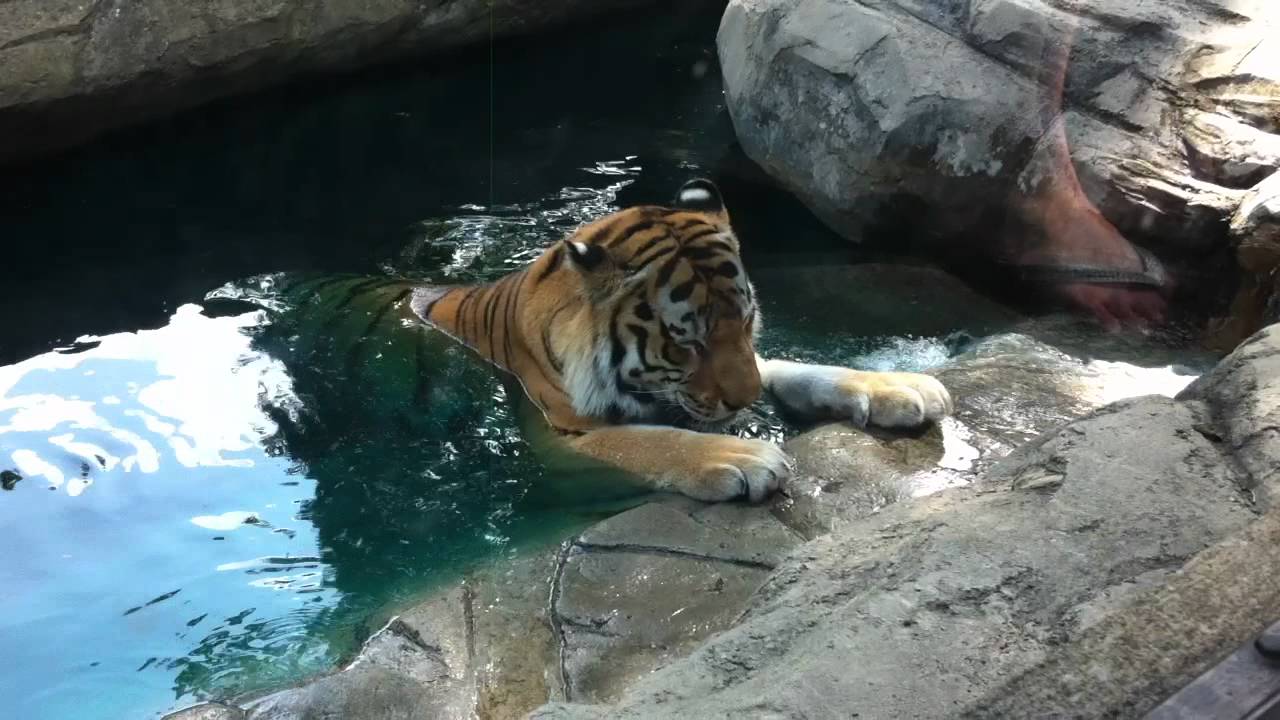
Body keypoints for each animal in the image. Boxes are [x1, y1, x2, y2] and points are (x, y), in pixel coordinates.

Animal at [405, 178, 953, 502]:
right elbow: (645, 442)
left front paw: (900, 386)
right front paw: (742, 458)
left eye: (747, 322)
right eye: (688, 342)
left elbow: (800, 370)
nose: (747, 401)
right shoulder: (560, 436)